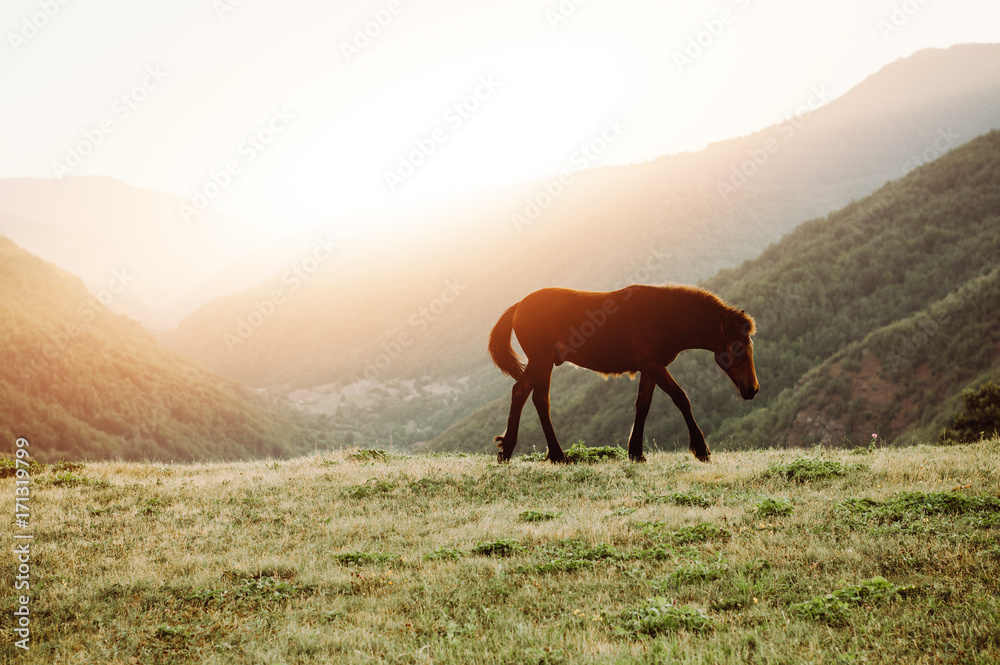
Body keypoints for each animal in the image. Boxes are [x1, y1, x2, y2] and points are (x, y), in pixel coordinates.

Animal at [486, 284, 756, 462]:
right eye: (738, 347)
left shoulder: (651, 367)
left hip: (539, 362)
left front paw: (636, 452)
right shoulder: (652, 364)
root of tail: (519, 306)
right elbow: (681, 398)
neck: (664, 315)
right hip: (542, 361)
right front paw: (700, 448)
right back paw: (557, 455)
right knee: (540, 400)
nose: (752, 389)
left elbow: (643, 404)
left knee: (519, 391)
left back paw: (507, 450)